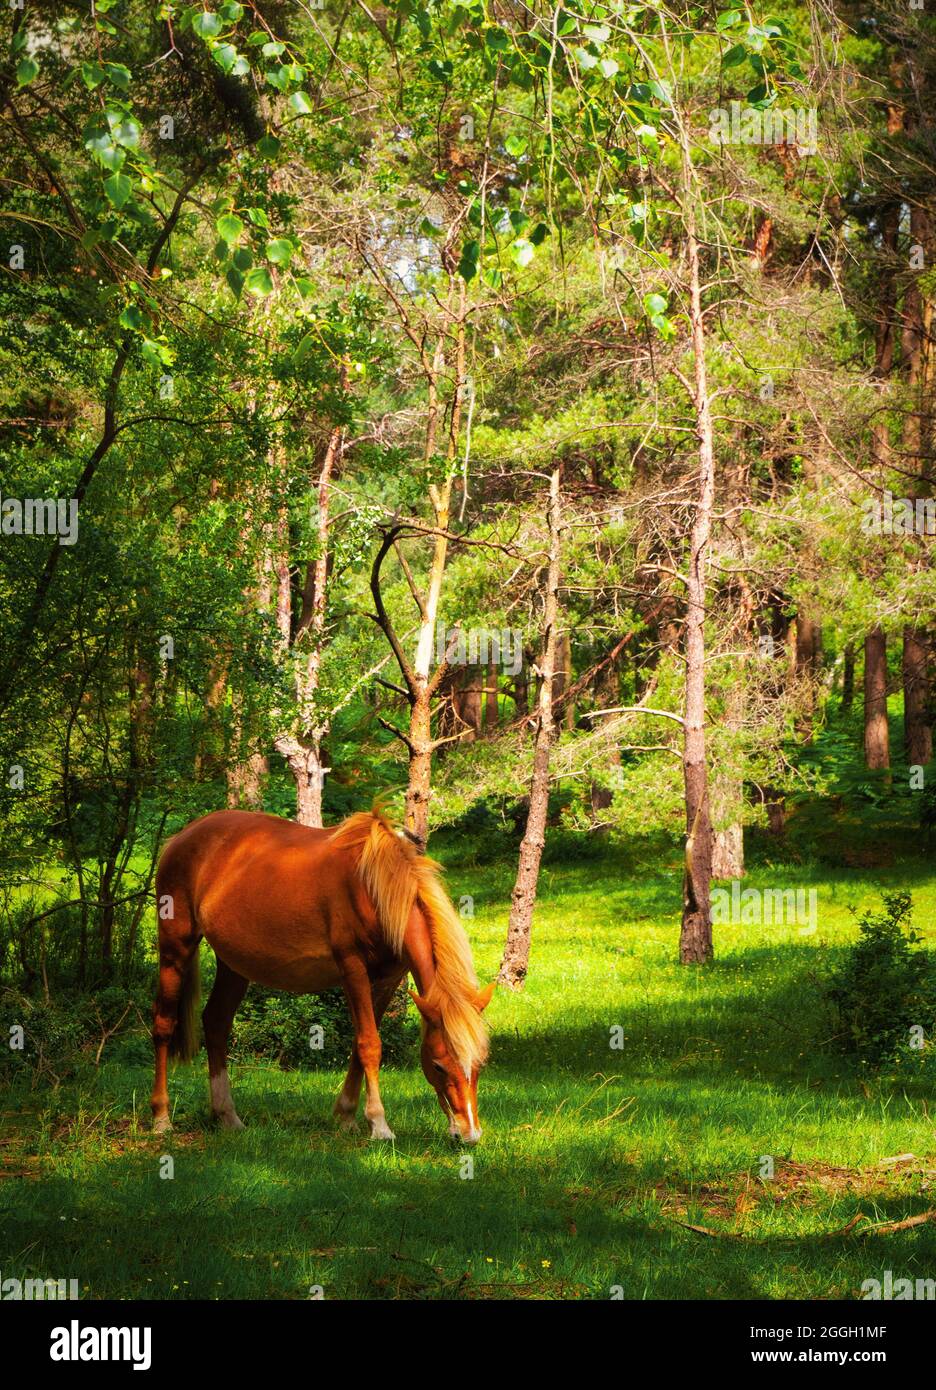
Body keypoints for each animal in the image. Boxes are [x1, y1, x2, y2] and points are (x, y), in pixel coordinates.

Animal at [150, 802, 494, 1142]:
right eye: (438, 1066)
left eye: (479, 1064)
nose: (469, 1134)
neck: (375, 888)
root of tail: (181, 837)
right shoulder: (352, 969)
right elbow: (370, 1044)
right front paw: (379, 1124)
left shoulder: (388, 978)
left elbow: (360, 1045)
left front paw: (346, 1115)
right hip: (175, 948)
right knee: (164, 1025)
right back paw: (161, 1117)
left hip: (233, 965)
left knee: (216, 1023)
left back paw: (227, 1115)